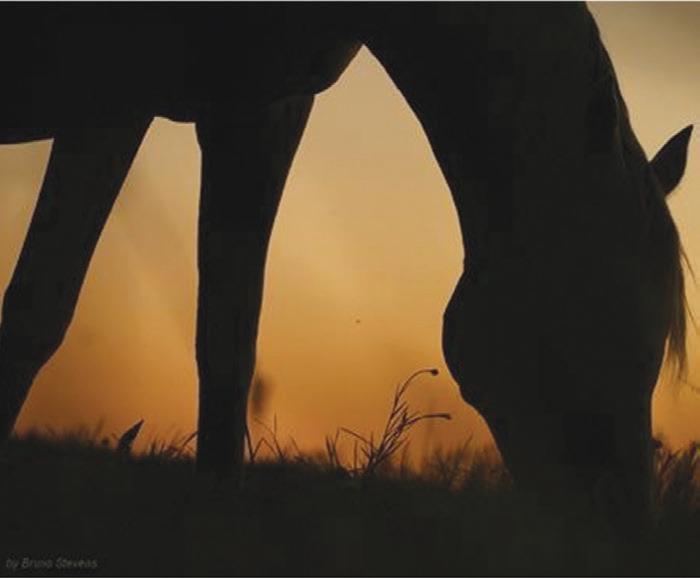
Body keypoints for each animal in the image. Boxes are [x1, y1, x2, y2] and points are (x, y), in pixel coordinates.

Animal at [0, 4, 692, 528]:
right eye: (601, 324)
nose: (625, 526)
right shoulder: (113, 90)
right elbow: (39, 311)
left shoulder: (263, 105)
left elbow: (228, 342)